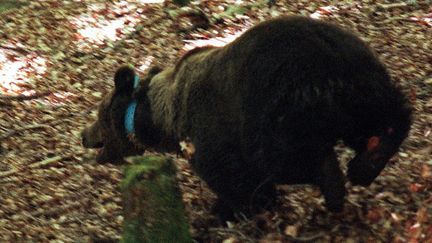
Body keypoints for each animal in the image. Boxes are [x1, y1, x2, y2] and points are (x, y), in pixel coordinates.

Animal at [80, 15, 412, 218]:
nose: (84, 135)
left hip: (282, 104)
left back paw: (335, 184)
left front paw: (227, 209)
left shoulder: (213, 137)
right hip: (365, 81)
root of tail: (331, 58)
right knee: (391, 116)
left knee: (287, 158)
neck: (164, 120)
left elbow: (239, 181)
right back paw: (365, 164)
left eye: (99, 116)